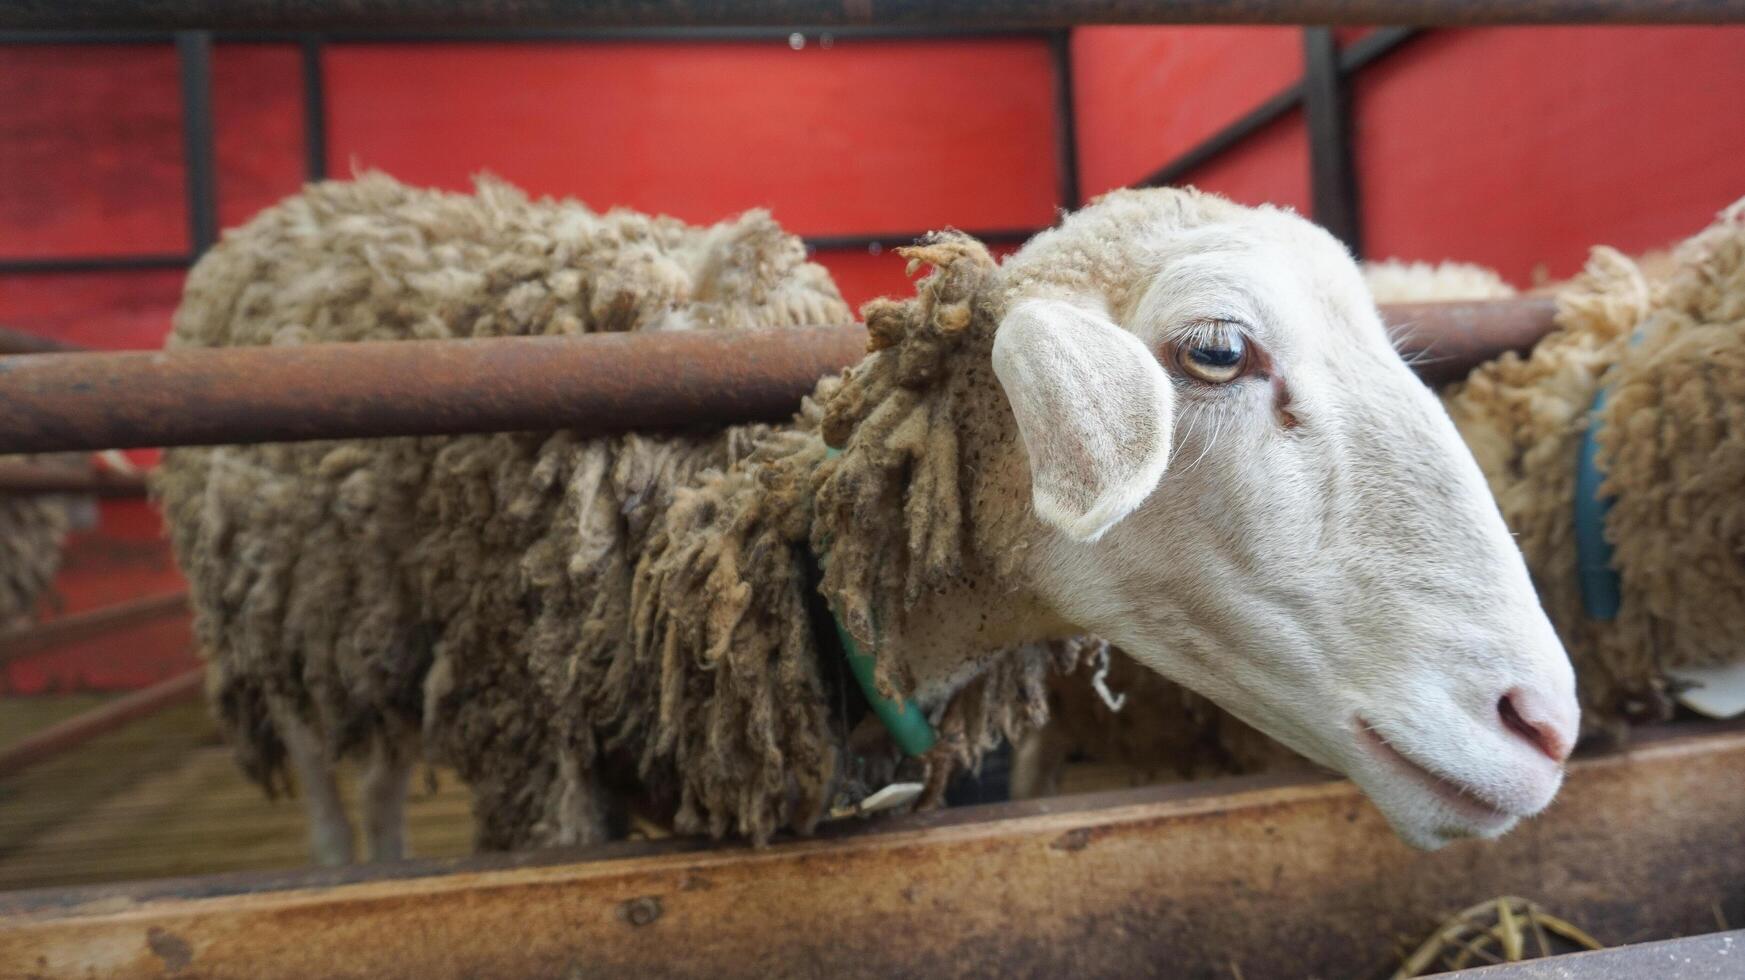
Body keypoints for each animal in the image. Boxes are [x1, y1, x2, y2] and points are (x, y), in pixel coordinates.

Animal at [160, 171, 1584, 857]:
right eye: (1220, 351)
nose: (1545, 725)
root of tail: (304, 201)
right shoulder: (541, 765)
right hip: (267, 635)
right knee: (333, 789)